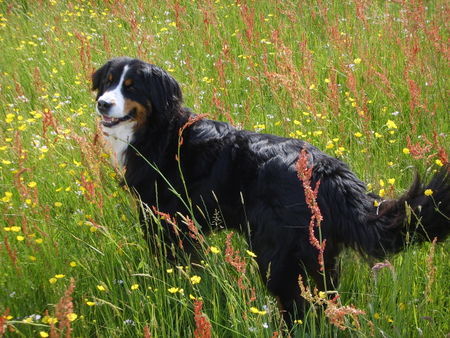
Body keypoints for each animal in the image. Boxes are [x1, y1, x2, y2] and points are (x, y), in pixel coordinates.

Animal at [91, 56, 450, 324]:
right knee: (323, 297)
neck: (159, 130)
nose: (102, 104)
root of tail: (326, 169)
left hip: (277, 252)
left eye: (131, 86)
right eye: (108, 82)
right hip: (318, 250)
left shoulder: (165, 219)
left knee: (296, 304)